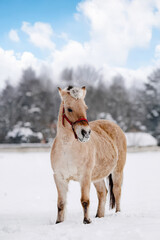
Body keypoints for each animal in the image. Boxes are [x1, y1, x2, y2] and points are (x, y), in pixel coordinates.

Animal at [50, 86, 127, 223]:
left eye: (85, 108)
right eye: (69, 109)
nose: (85, 132)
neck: (67, 148)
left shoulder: (85, 177)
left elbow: (85, 201)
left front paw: (86, 221)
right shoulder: (59, 178)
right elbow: (61, 203)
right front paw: (59, 222)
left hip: (118, 171)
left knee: (117, 191)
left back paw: (117, 214)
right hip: (97, 176)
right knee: (103, 192)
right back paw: (99, 216)